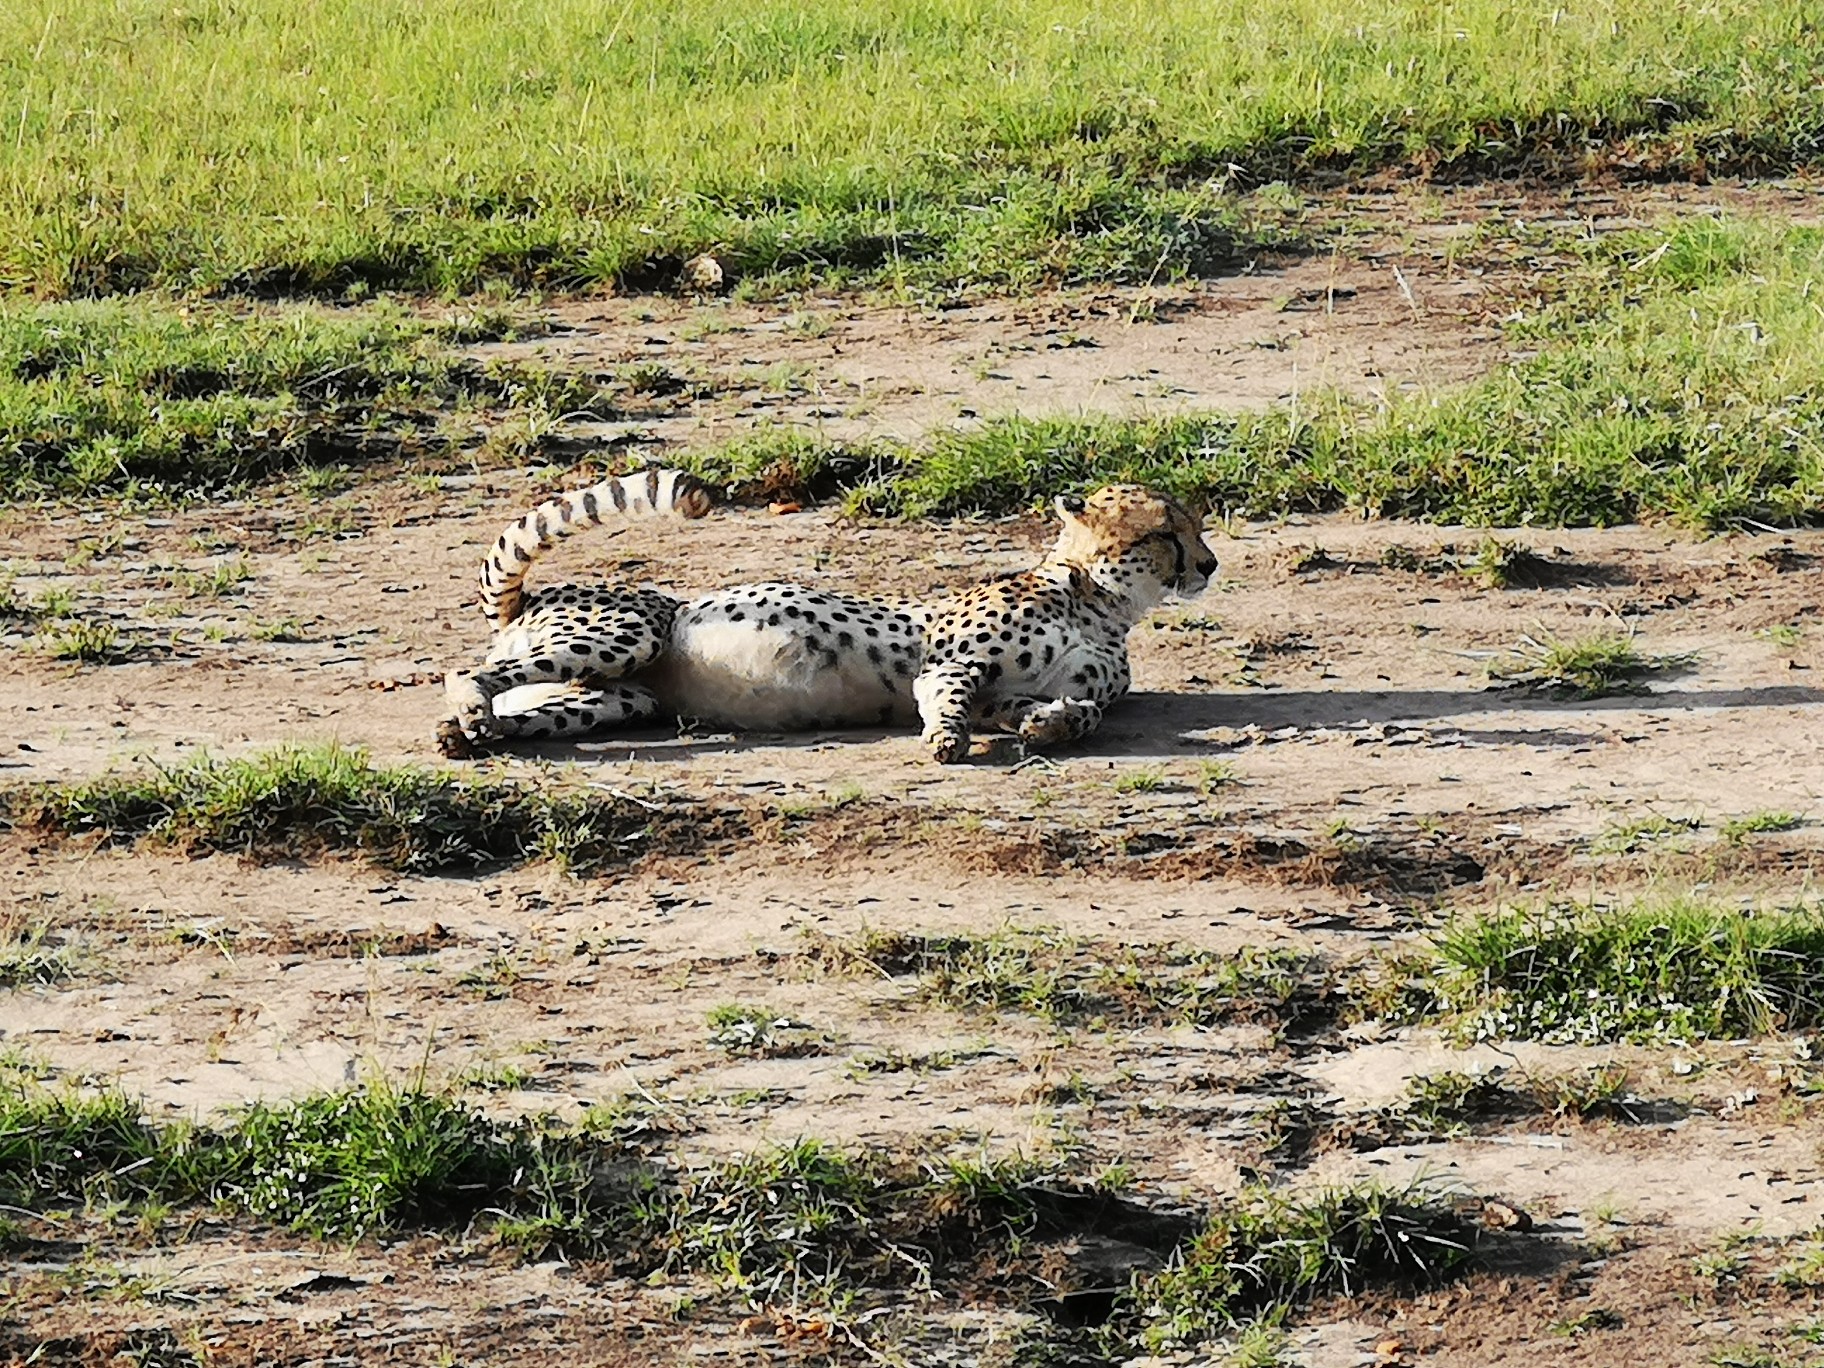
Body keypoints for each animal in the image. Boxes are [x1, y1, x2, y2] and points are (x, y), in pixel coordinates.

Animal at [434, 474, 1218, 766]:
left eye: (1196, 526)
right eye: (1166, 532)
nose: (1208, 565)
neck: (1099, 602)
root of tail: (536, 596)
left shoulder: (1013, 692)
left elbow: (1078, 709)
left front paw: (1053, 727)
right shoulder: (951, 662)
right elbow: (947, 697)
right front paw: (946, 739)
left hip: (618, 698)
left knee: (535, 712)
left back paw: (471, 735)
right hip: (631, 631)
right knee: (466, 669)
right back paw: (469, 713)